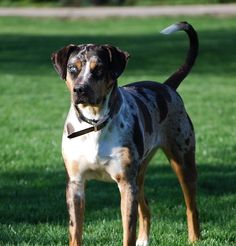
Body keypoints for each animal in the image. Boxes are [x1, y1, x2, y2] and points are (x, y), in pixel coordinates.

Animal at [51, 21, 199, 246]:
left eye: (99, 69)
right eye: (72, 68)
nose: (80, 89)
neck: (95, 124)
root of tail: (167, 87)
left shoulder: (126, 184)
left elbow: (127, 231)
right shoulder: (75, 184)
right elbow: (75, 232)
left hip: (182, 162)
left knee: (191, 207)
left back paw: (194, 238)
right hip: (139, 175)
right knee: (146, 208)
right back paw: (144, 240)